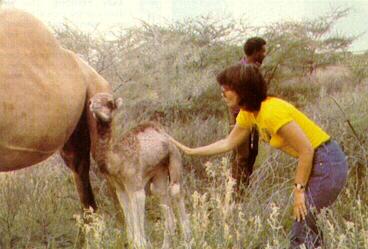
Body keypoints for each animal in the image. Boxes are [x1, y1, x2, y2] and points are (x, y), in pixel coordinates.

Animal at [88, 92, 190, 248]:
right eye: (92, 99)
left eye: (110, 103)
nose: (92, 104)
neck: (117, 159)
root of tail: (164, 134)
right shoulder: (120, 188)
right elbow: (128, 218)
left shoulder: (135, 186)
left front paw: (141, 244)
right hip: (159, 173)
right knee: (165, 207)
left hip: (175, 158)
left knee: (176, 190)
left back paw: (188, 240)